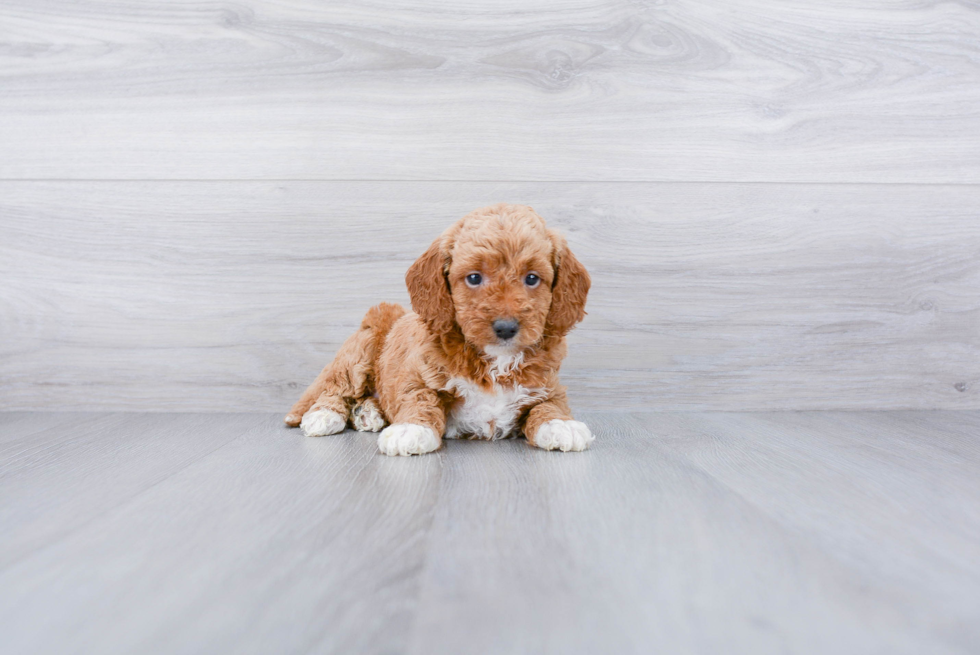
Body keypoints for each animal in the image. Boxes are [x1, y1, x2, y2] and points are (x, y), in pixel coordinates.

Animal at [282, 204, 588, 456]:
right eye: (474, 278)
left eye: (532, 279)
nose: (505, 328)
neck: (496, 362)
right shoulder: (418, 375)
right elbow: (420, 399)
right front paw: (411, 429)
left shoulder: (548, 385)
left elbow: (549, 404)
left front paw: (562, 424)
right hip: (362, 346)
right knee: (338, 386)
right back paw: (325, 415)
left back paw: (367, 412)